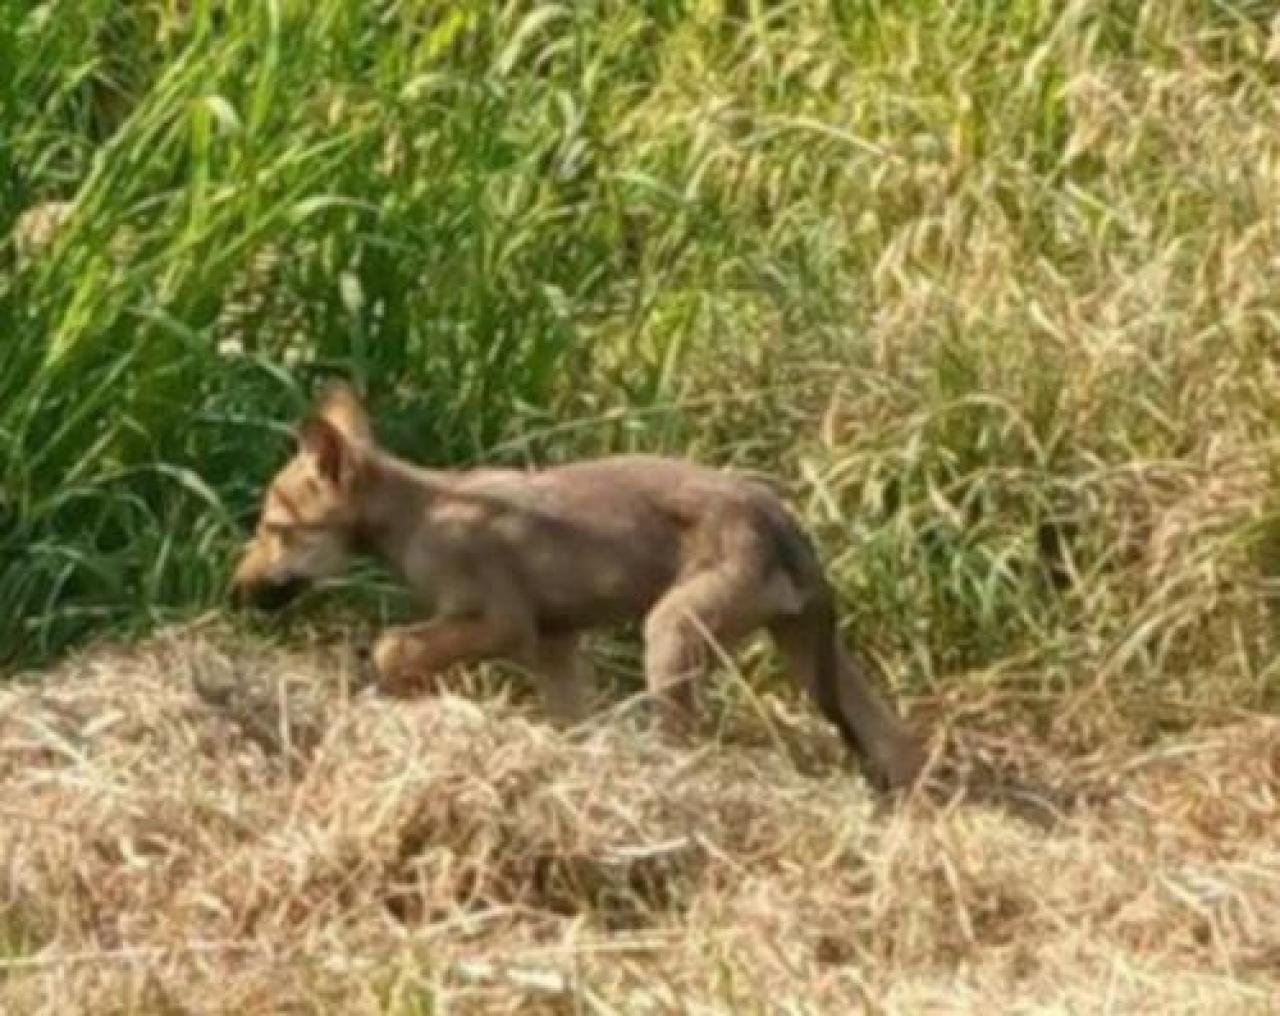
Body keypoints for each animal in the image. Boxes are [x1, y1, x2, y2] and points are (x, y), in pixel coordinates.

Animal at [230, 384, 925, 789]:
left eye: (276, 529)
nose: (236, 591)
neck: (415, 513)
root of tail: (781, 519)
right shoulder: (555, 642)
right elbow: (569, 717)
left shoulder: (503, 621)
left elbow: (393, 646)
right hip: (804, 646)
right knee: (894, 741)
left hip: (673, 631)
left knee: (686, 735)